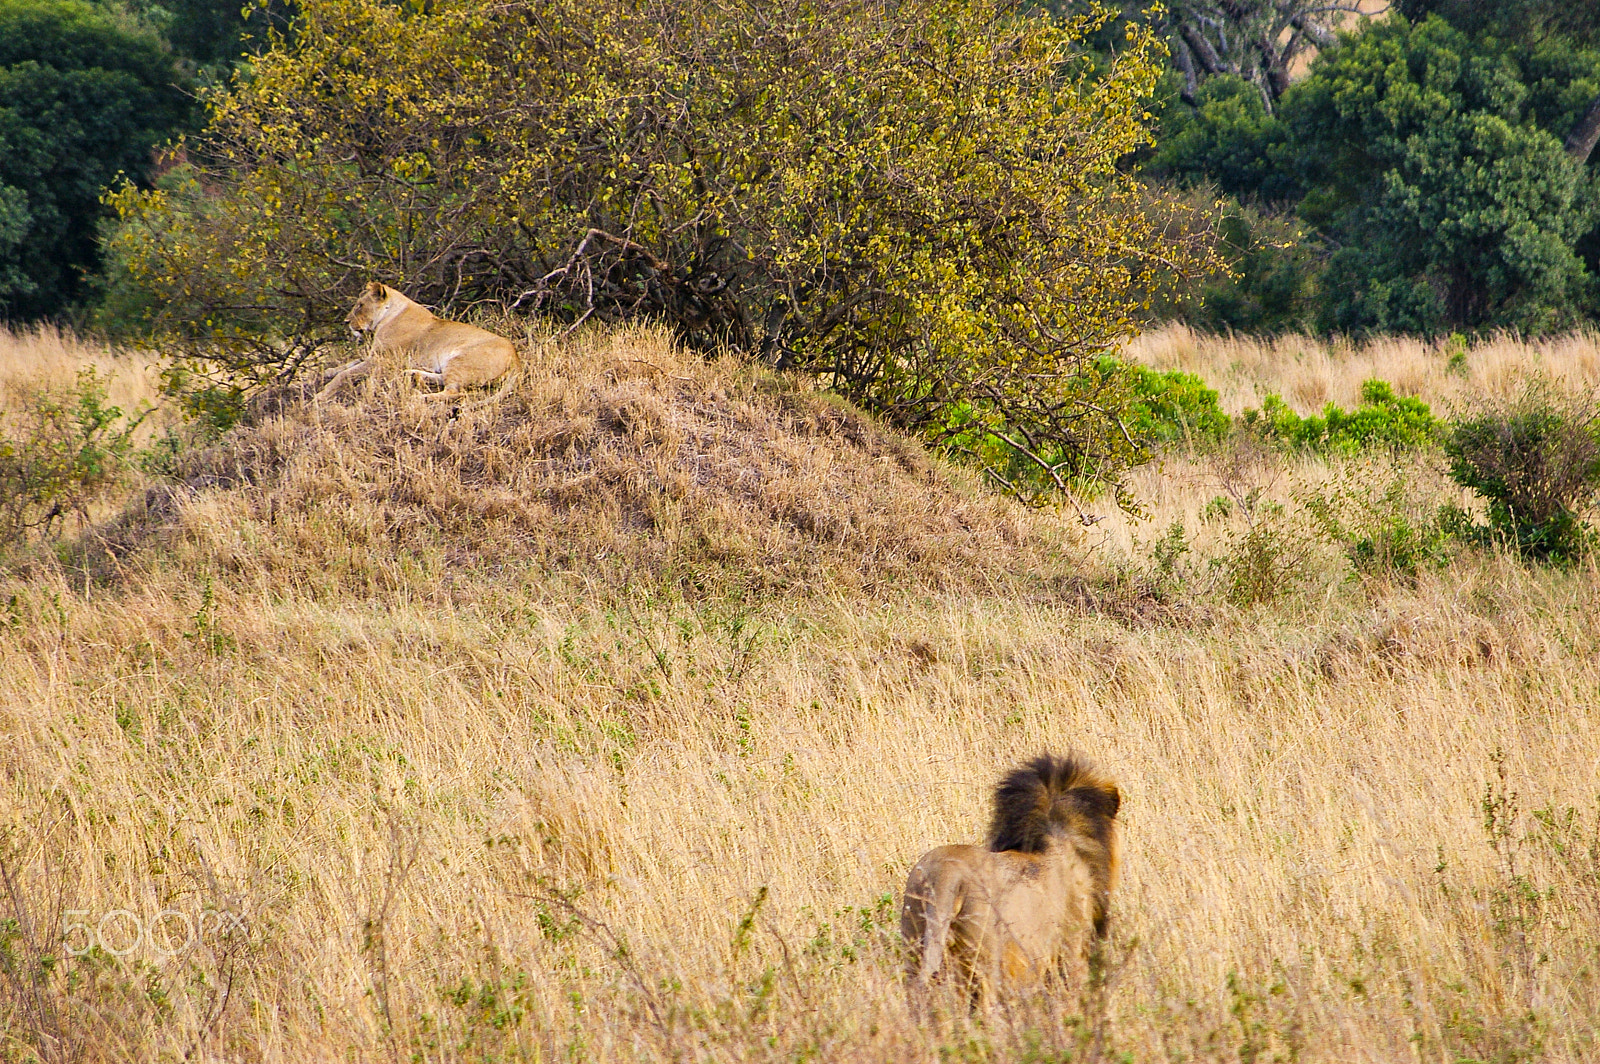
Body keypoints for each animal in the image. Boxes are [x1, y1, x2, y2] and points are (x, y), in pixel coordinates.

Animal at [321, 281, 521, 398]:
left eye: (360, 305)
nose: (346, 322)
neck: (388, 314)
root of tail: (516, 358)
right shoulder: (374, 355)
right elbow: (351, 362)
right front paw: (328, 371)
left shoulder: (382, 360)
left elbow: (345, 375)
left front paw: (322, 394)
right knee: (443, 380)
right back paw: (413, 374)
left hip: (461, 359)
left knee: (453, 392)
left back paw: (418, 397)